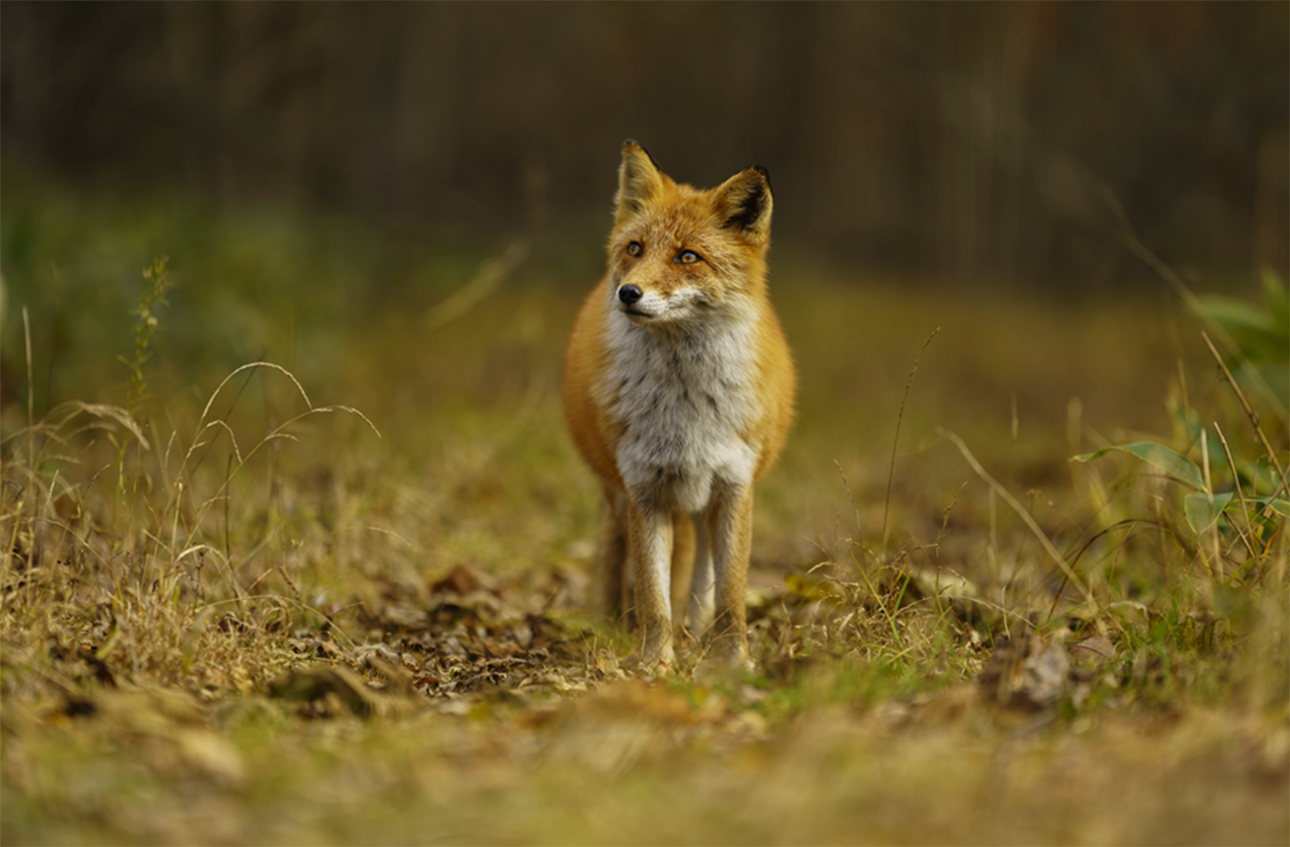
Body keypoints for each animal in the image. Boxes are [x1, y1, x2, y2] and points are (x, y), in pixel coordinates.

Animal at [565, 141, 794, 670]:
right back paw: (614, 625)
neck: (685, 408)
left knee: (702, 576)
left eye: (688, 256)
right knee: (616, 557)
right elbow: (653, 596)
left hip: (703, 504)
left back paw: (695, 635)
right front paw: (654, 664)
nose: (628, 292)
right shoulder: (643, 489)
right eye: (635, 249)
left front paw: (733, 662)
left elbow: (730, 594)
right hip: (620, 496)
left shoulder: (735, 487)